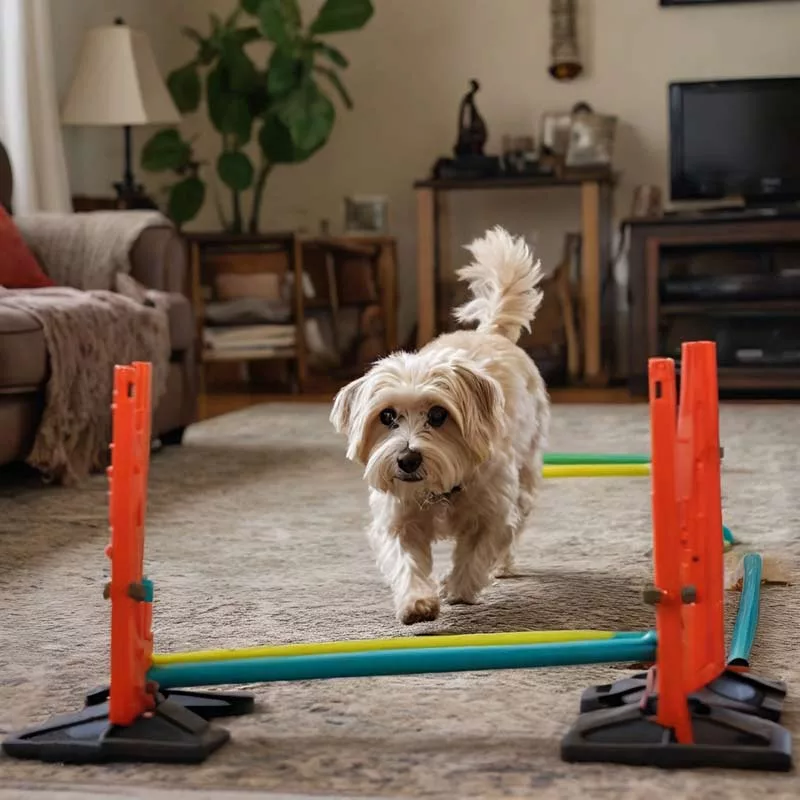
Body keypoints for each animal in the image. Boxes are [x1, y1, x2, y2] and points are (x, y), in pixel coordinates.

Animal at [332, 225, 552, 624]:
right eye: (387, 416)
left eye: (438, 415)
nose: (407, 459)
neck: (439, 491)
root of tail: (490, 332)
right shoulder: (398, 521)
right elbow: (406, 562)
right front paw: (417, 602)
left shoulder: (493, 512)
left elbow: (478, 553)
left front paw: (459, 589)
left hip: (526, 473)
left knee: (516, 526)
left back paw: (503, 566)